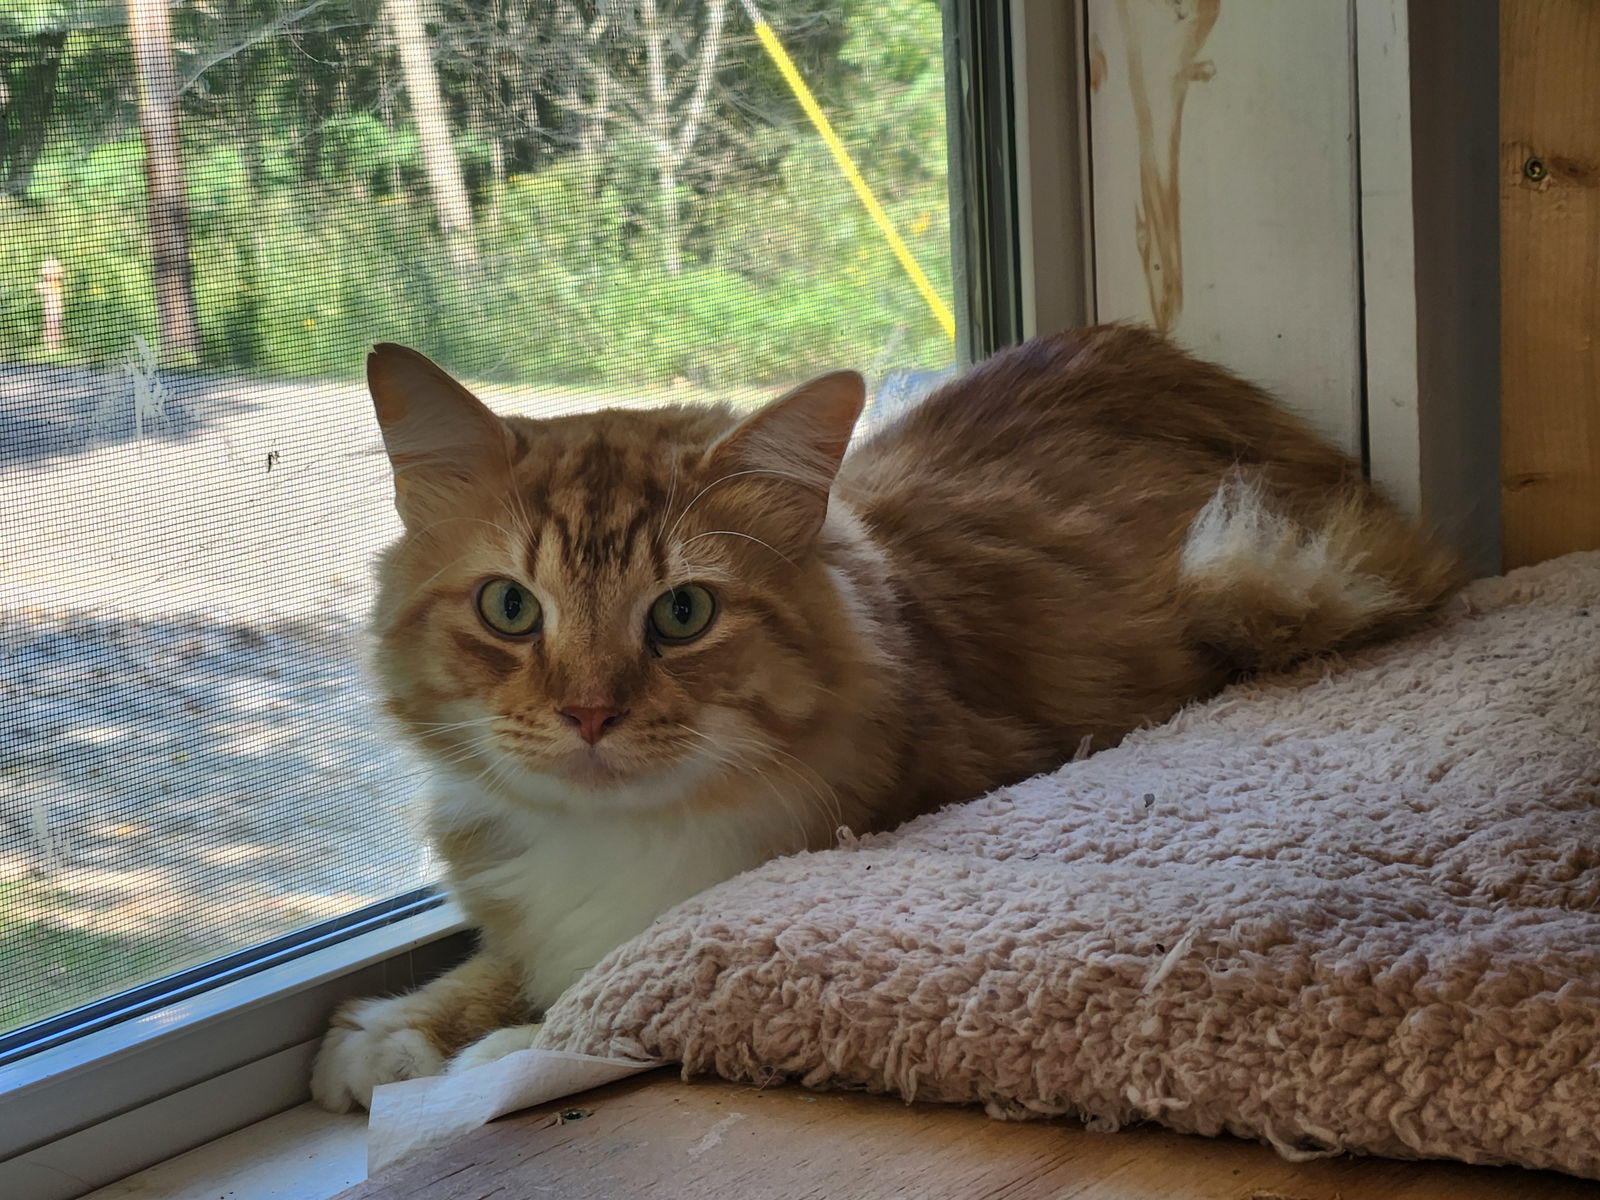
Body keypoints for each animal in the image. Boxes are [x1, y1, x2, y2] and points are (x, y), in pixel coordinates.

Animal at [308, 324, 1465, 1113]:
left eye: (682, 614)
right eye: (510, 608)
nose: (589, 712)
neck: (618, 838)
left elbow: (602, 989)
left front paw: (501, 1051)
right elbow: (499, 960)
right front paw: (399, 1030)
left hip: (1259, 577)